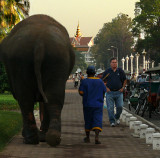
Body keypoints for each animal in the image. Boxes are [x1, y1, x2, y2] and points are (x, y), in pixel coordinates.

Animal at [0, 14, 75, 146]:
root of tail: (40, 43)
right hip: (56, 58)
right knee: (53, 97)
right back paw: (51, 138)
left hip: (24, 60)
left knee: (26, 99)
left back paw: (32, 139)